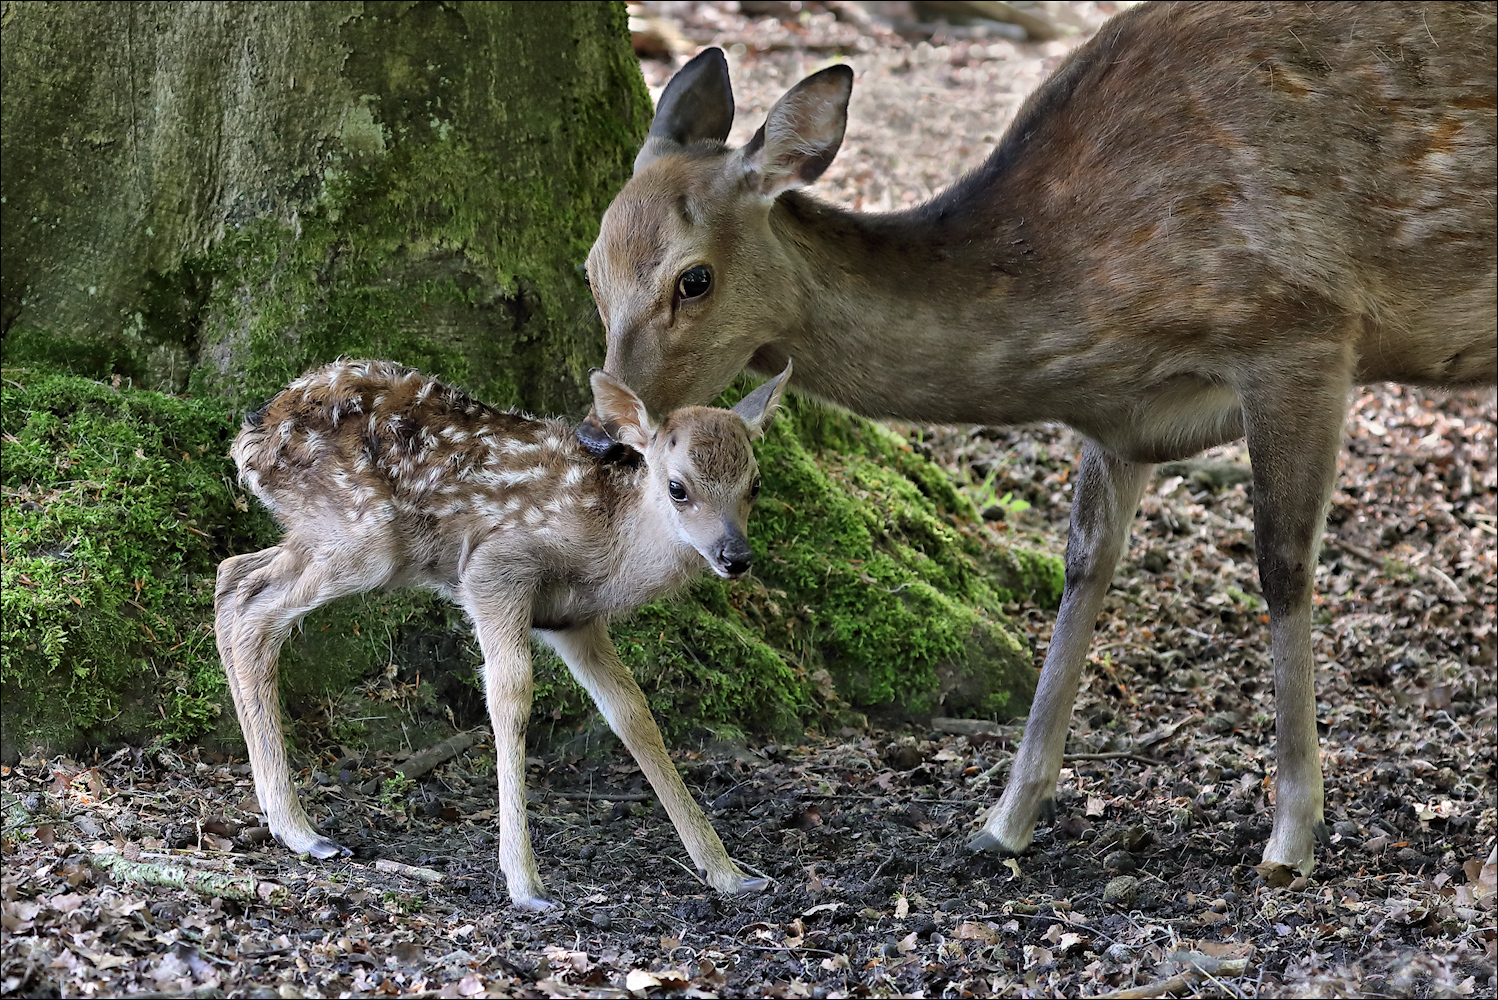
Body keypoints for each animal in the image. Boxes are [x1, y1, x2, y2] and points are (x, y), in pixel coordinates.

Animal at [584, 0, 1498, 874]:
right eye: (591, 267)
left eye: (694, 279)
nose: (597, 434)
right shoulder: (1126, 418)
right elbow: (1085, 563)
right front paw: (1003, 823)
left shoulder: (1303, 333)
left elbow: (1283, 566)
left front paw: (1292, 836)